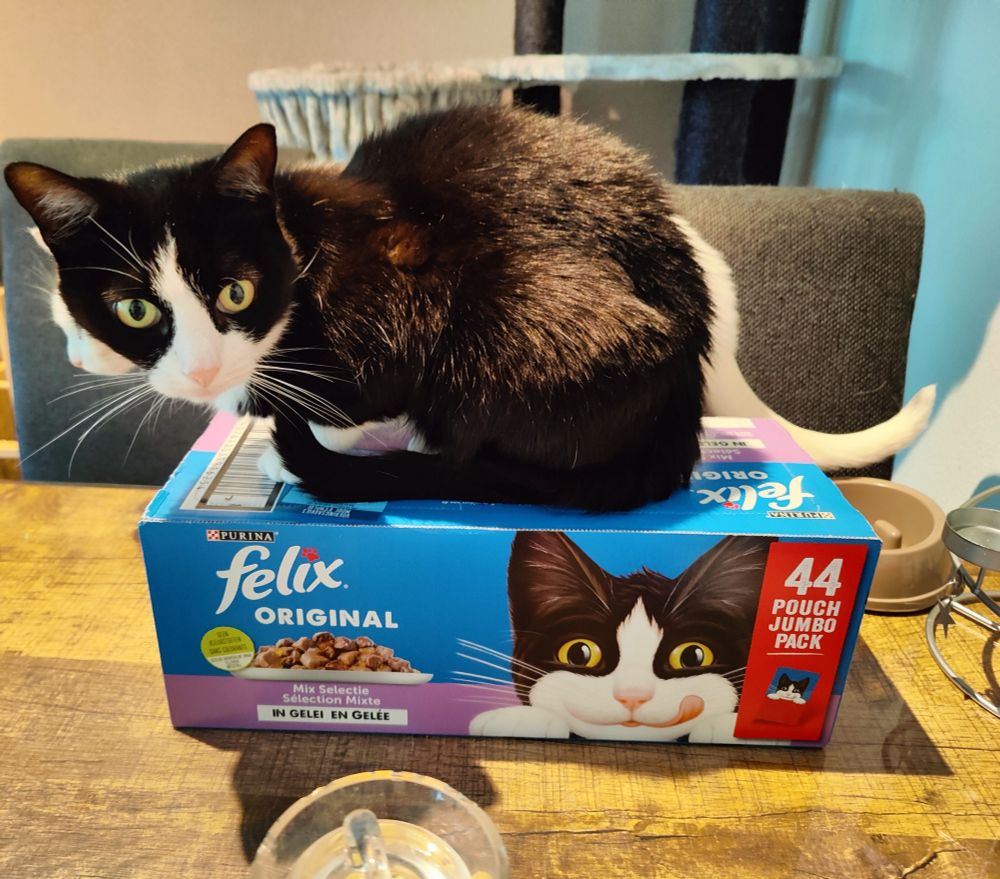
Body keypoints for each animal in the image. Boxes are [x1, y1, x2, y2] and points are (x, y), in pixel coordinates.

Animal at [4, 107, 935, 510]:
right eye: (132, 310)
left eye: (234, 291)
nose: (199, 370)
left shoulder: (394, 302)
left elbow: (357, 406)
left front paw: (312, 446)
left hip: (519, 316)